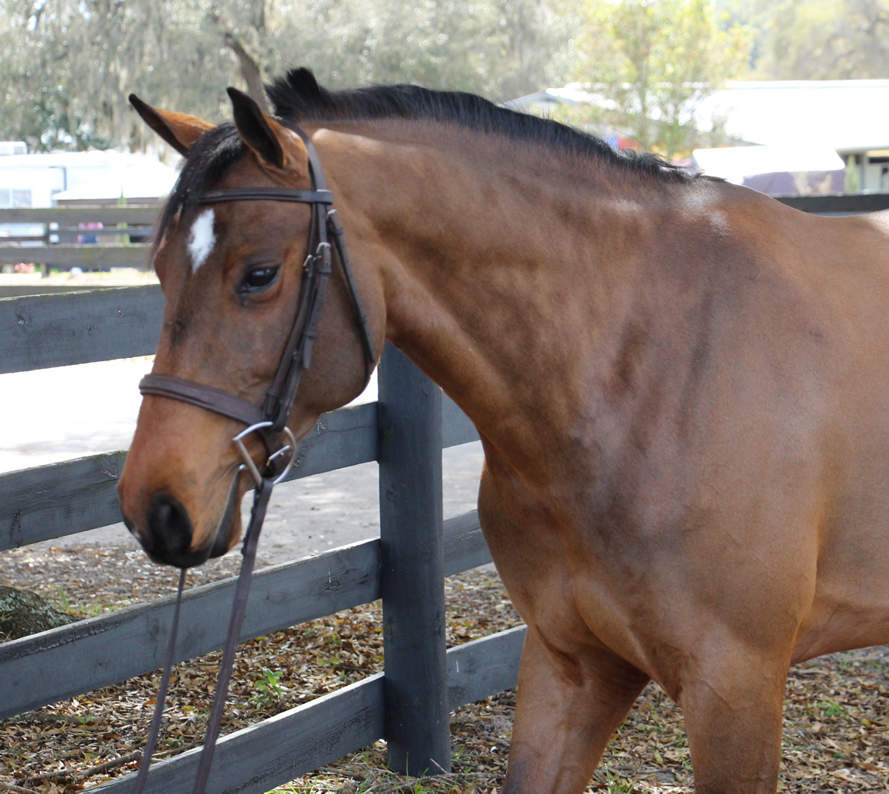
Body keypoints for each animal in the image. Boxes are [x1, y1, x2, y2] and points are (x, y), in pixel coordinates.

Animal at [118, 69, 888, 792]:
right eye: (159, 267)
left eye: (257, 274)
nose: (155, 506)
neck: (652, 365)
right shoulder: (569, 663)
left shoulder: (736, 689)